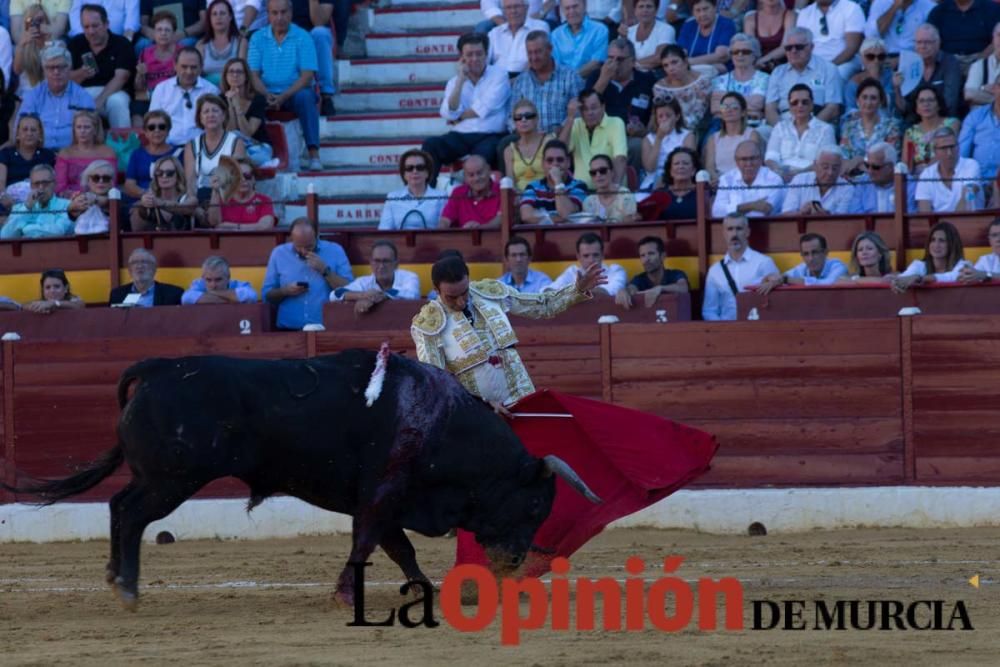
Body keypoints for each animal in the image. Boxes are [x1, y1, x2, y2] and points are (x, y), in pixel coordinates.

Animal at [3, 350, 596, 612]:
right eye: (535, 505)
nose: (513, 563)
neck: (442, 423)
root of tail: (159, 367)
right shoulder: (382, 495)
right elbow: (368, 544)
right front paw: (345, 593)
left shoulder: (383, 499)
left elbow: (397, 548)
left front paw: (423, 589)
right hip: (172, 479)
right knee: (127, 512)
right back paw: (127, 588)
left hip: (160, 477)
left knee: (116, 506)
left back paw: (114, 577)